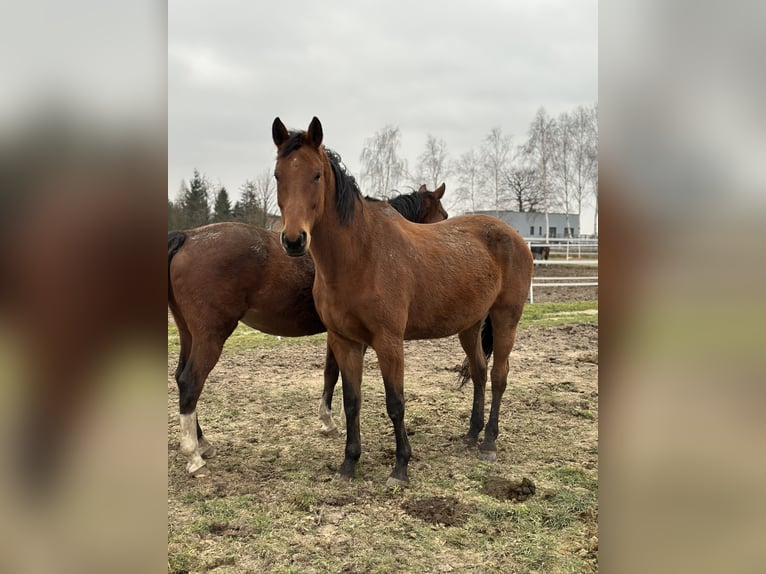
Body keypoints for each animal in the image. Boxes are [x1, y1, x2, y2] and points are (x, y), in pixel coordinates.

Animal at [168, 181, 444, 476]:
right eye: (444, 216)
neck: (365, 244)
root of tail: (187, 237)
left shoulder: (338, 334)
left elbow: (330, 372)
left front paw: (327, 421)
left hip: (189, 334)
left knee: (180, 377)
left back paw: (203, 443)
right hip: (210, 337)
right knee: (190, 382)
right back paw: (194, 457)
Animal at [274, 118, 536, 490]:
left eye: (316, 175)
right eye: (278, 176)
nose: (294, 240)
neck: (360, 255)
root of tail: (515, 236)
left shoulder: (389, 342)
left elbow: (395, 402)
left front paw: (400, 467)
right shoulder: (344, 341)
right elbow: (351, 401)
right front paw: (348, 463)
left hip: (505, 319)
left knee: (499, 376)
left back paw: (488, 443)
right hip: (470, 326)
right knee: (480, 372)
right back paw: (471, 436)